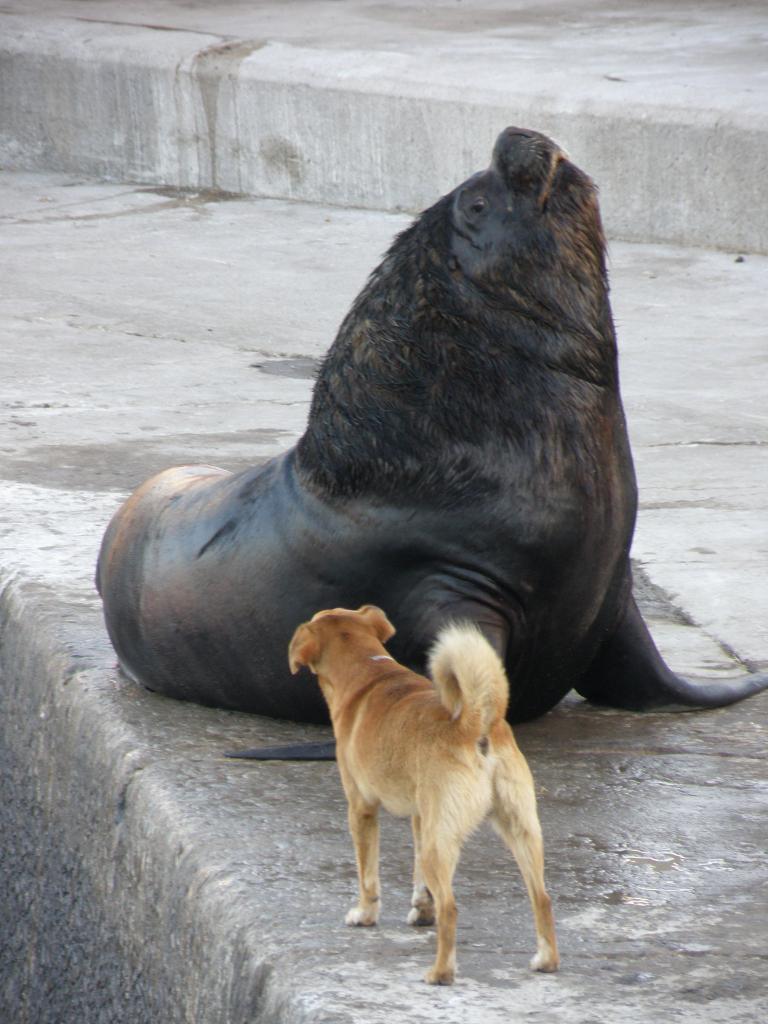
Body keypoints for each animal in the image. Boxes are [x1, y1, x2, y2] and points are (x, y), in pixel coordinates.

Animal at [288, 602, 561, 978]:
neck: (368, 671)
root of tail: (473, 724)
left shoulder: (361, 809)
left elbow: (368, 875)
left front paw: (365, 914)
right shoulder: (420, 814)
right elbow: (418, 876)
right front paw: (421, 909)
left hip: (441, 839)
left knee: (451, 907)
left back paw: (441, 973)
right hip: (518, 829)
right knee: (542, 898)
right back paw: (546, 960)